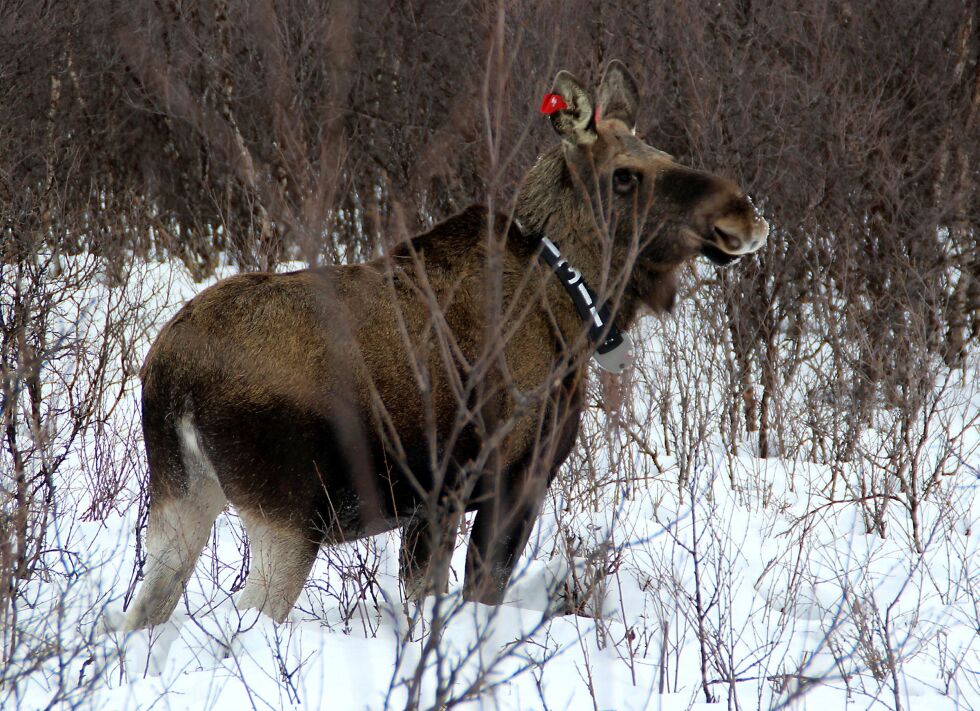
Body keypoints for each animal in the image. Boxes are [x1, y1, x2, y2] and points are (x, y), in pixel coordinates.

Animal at [124, 61, 764, 628]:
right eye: (625, 174)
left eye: (666, 155)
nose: (744, 214)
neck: (574, 312)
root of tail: (171, 375)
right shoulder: (511, 482)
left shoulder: (434, 504)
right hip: (286, 514)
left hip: (182, 493)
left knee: (138, 616)